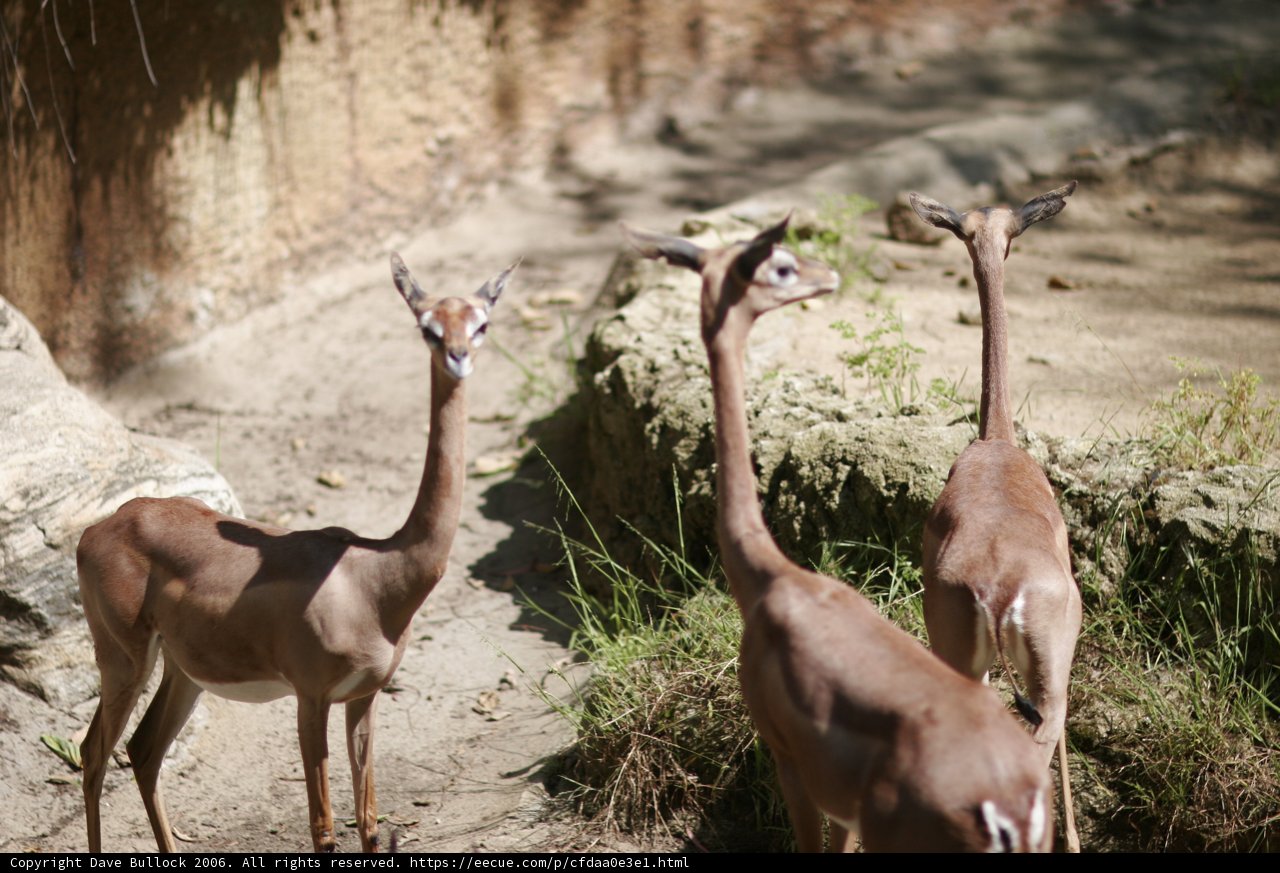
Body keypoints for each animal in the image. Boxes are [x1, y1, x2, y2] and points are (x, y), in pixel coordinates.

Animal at [76, 254, 515, 852]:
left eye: (480, 323)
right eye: (427, 325)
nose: (458, 356)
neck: (377, 581)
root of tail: (100, 528)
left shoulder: (364, 696)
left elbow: (370, 822)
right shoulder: (311, 698)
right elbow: (324, 829)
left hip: (183, 671)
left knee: (143, 751)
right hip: (124, 660)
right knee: (93, 753)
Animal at [624, 216, 1053, 852]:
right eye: (779, 265)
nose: (826, 275)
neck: (774, 581)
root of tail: (1005, 801)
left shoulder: (790, 765)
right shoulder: (839, 805)